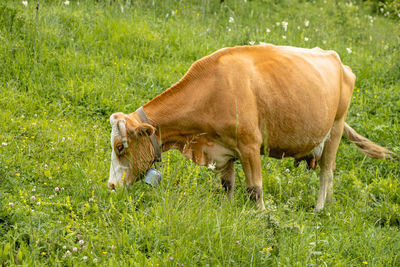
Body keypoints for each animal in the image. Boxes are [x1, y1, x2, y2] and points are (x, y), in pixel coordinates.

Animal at [108, 44, 392, 211]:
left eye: (120, 147)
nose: (110, 186)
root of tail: (337, 59)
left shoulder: (250, 145)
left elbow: (255, 190)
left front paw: (262, 218)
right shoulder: (221, 148)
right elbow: (227, 185)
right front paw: (228, 212)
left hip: (335, 128)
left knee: (327, 172)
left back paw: (320, 209)